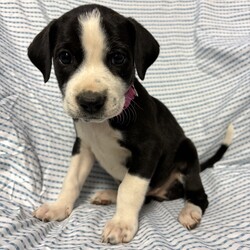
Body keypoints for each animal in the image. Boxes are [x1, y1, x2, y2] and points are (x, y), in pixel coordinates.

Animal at [28, 4, 233, 245]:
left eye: (118, 58)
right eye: (65, 57)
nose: (91, 101)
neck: (104, 124)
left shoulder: (148, 149)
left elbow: (130, 188)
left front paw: (121, 224)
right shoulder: (83, 146)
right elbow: (72, 179)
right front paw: (59, 207)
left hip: (187, 152)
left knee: (198, 195)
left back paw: (190, 211)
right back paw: (109, 195)